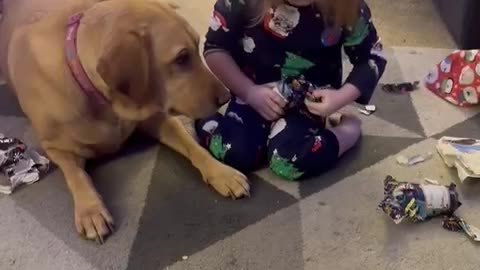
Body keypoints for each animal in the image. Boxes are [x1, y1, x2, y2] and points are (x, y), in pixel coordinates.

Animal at [0, 0, 248, 244]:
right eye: (181, 58)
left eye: (198, 47)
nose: (226, 97)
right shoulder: (56, 148)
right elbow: (77, 176)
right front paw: (91, 210)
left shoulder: (157, 118)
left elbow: (194, 147)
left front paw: (223, 173)